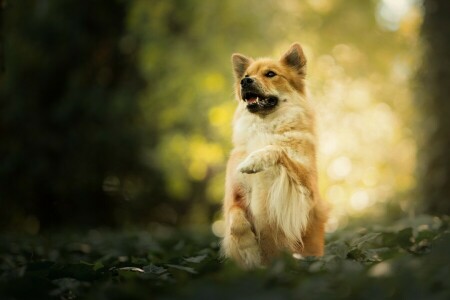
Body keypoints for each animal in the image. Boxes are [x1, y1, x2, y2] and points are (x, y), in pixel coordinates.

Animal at [221, 43, 326, 268]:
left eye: (270, 74)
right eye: (246, 75)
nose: (245, 81)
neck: (265, 126)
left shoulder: (306, 191)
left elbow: (277, 149)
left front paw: (254, 160)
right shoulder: (235, 195)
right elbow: (235, 220)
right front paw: (248, 249)